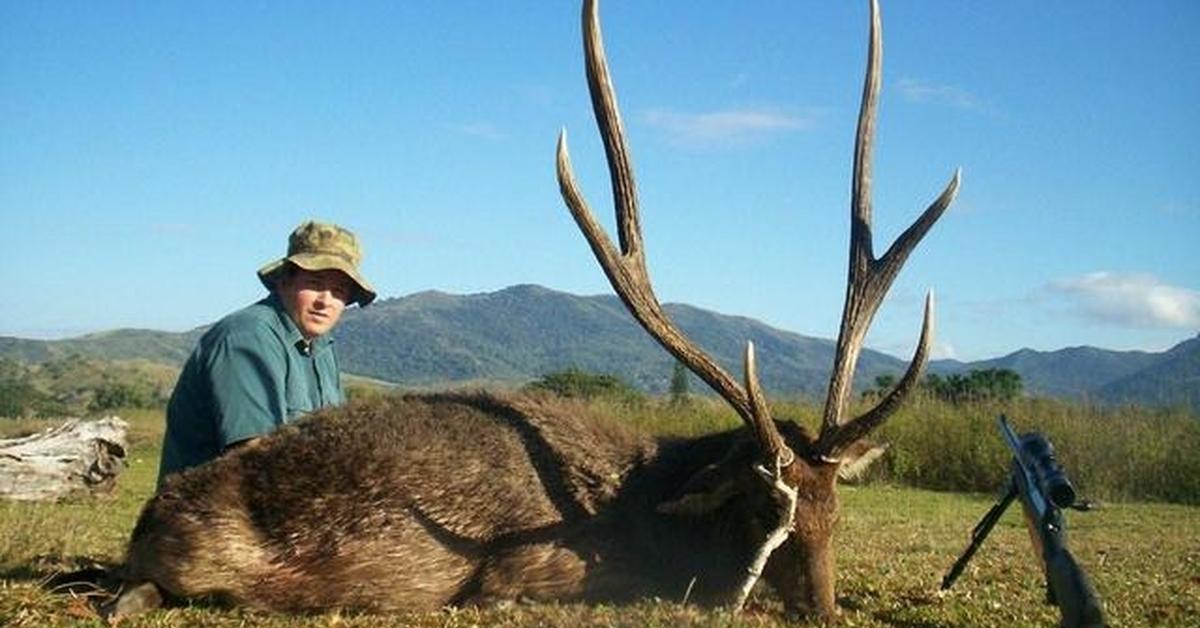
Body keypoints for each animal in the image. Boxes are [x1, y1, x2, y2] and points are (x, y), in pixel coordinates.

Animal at [108, 0, 960, 619]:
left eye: (834, 513)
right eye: (762, 511)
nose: (825, 609)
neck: (650, 510)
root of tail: (151, 513)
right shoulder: (530, 570)